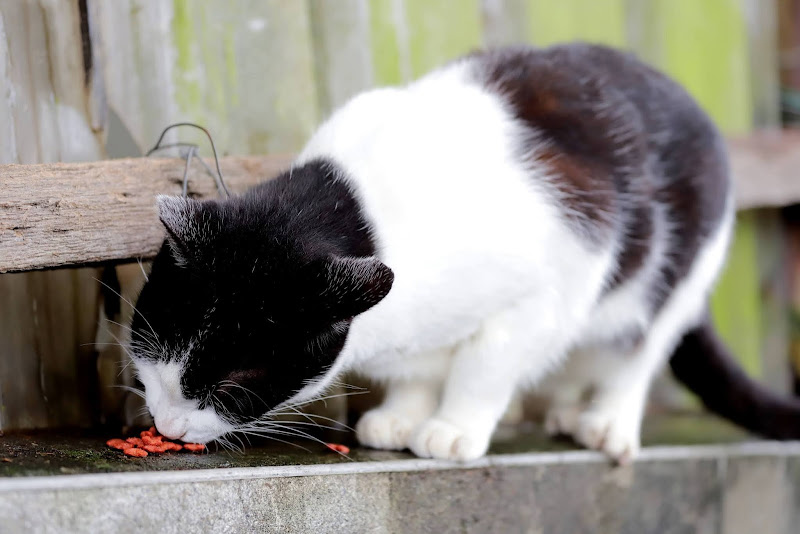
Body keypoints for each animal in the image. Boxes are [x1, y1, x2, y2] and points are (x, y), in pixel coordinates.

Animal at [130, 45, 800, 464]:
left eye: (235, 381)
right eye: (151, 350)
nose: (167, 425)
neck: (362, 210)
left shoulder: (551, 284)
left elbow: (487, 365)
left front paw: (452, 428)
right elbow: (420, 369)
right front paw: (402, 415)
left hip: (675, 274)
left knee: (638, 351)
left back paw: (606, 423)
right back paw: (563, 410)